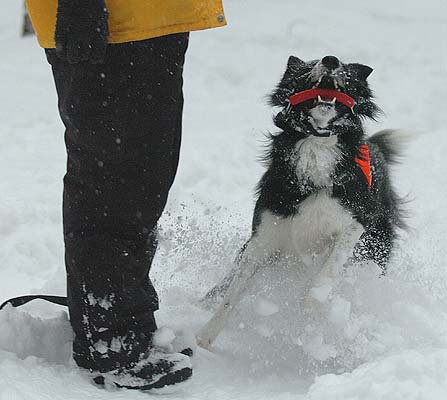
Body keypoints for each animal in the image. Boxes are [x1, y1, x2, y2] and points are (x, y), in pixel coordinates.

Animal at [198, 54, 408, 348]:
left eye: (345, 69)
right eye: (309, 66)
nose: (330, 59)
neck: (317, 146)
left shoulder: (356, 220)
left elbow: (329, 269)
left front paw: (312, 305)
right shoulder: (266, 230)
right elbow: (234, 290)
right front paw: (205, 336)